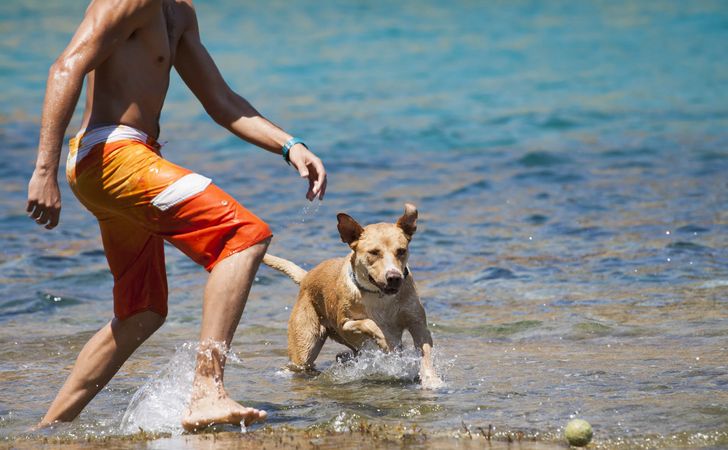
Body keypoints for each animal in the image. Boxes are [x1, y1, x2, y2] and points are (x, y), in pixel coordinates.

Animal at [264, 203, 440, 386]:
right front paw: (388, 341)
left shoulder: (417, 323)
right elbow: (370, 323)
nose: (394, 277)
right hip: (305, 344)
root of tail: (306, 276)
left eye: (401, 251)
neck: (379, 297)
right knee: (300, 361)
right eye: (374, 252)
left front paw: (431, 379)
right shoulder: (345, 323)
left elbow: (425, 352)